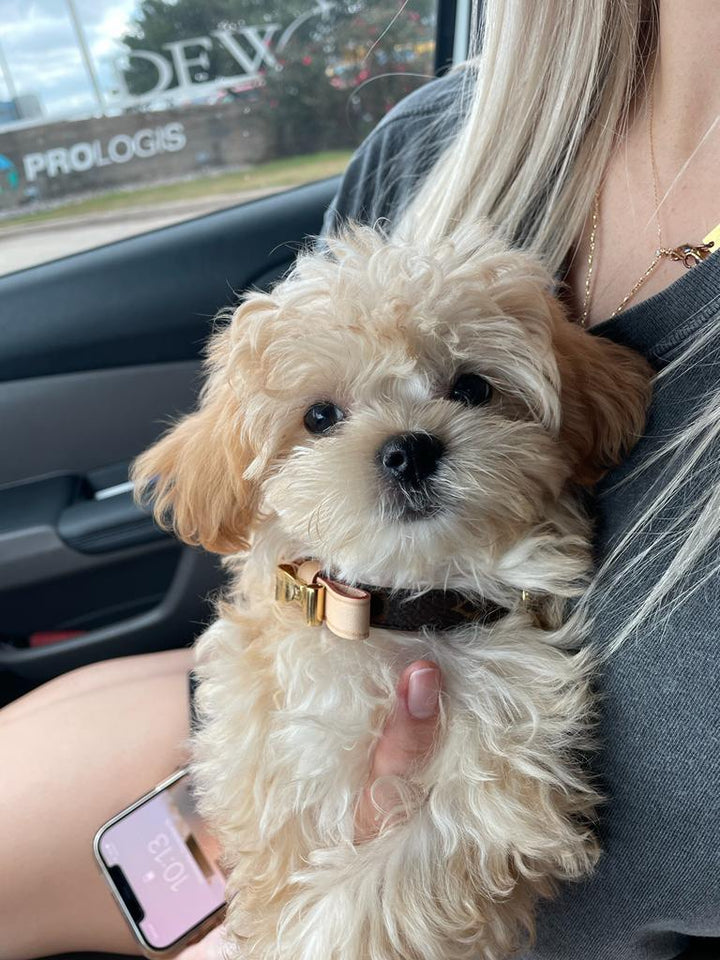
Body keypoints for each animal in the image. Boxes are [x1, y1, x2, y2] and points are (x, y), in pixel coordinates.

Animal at [131, 227, 652, 960]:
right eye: (320, 416)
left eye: (472, 386)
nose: (409, 448)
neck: (394, 611)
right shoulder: (261, 767)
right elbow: (276, 866)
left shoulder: (497, 769)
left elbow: (378, 889)